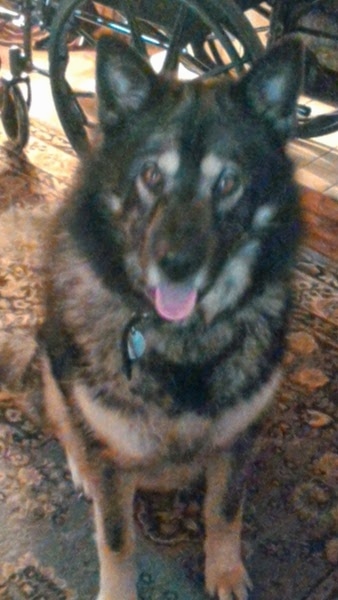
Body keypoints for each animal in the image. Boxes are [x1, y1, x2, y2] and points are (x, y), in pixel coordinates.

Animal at [39, 35, 304, 596]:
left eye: (227, 182)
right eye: (150, 174)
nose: (177, 265)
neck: (185, 339)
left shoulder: (237, 442)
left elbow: (225, 513)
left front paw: (225, 573)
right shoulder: (114, 461)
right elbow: (117, 540)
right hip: (51, 356)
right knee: (64, 421)